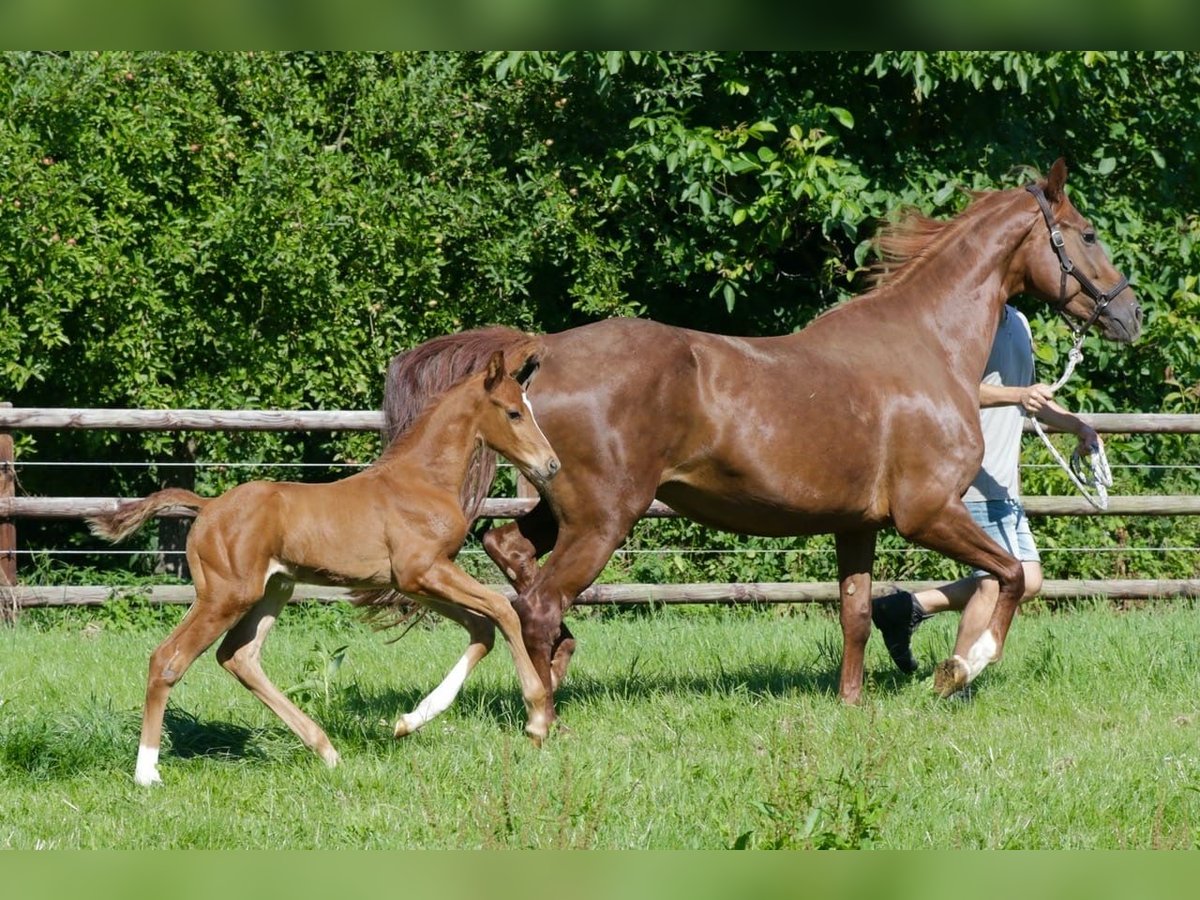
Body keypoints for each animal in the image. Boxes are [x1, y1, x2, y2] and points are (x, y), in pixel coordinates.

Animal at [88, 348, 556, 787]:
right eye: (513, 412)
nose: (551, 465)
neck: (422, 481)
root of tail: (207, 507)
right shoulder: (422, 572)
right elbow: (503, 609)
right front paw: (537, 719)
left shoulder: (415, 583)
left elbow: (483, 627)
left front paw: (409, 721)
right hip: (225, 596)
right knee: (168, 659)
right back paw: (147, 772)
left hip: (273, 590)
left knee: (239, 656)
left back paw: (326, 750)